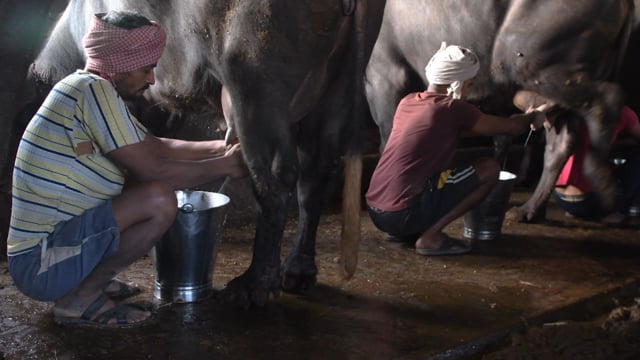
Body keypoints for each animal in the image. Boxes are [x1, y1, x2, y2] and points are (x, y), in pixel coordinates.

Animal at [364, 0, 636, 222]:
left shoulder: (384, 73)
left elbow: (389, 135)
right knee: (560, 143)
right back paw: (529, 210)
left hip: (534, 62)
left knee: (607, 99)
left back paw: (603, 182)